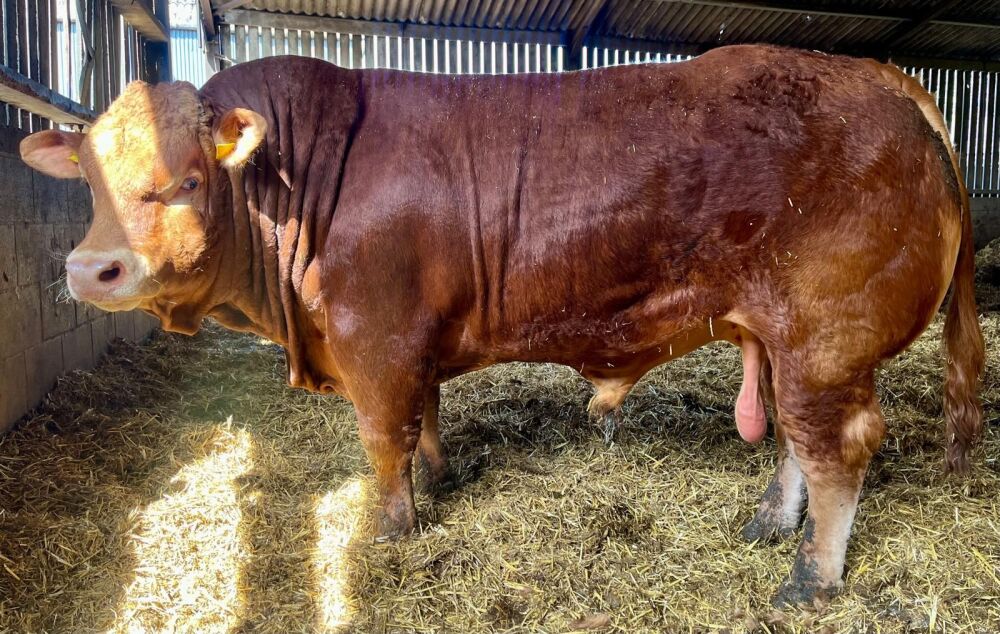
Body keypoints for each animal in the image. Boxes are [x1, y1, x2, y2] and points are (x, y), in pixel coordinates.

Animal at [19, 44, 984, 607]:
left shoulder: (376, 343)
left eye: (185, 178)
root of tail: (882, 78)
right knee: (794, 442)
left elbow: (383, 442)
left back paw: (810, 577)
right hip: (787, 343)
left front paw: (389, 531)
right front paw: (439, 478)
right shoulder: (411, 345)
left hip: (826, 339)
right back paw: (770, 524)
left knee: (839, 450)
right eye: (91, 178)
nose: (90, 270)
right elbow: (425, 420)